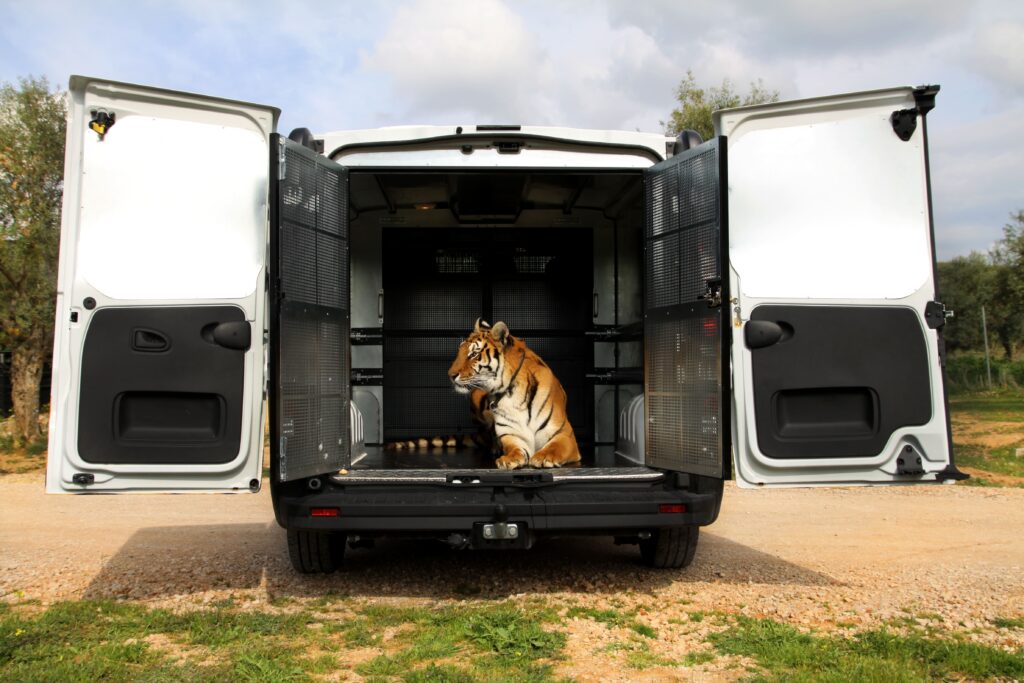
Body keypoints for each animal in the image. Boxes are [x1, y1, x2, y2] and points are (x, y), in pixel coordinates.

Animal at [448, 318, 581, 470]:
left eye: (474, 354)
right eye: (460, 352)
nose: (450, 375)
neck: (512, 394)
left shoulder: (564, 434)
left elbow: (555, 447)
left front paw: (543, 457)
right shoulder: (512, 434)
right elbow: (515, 448)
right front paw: (508, 459)